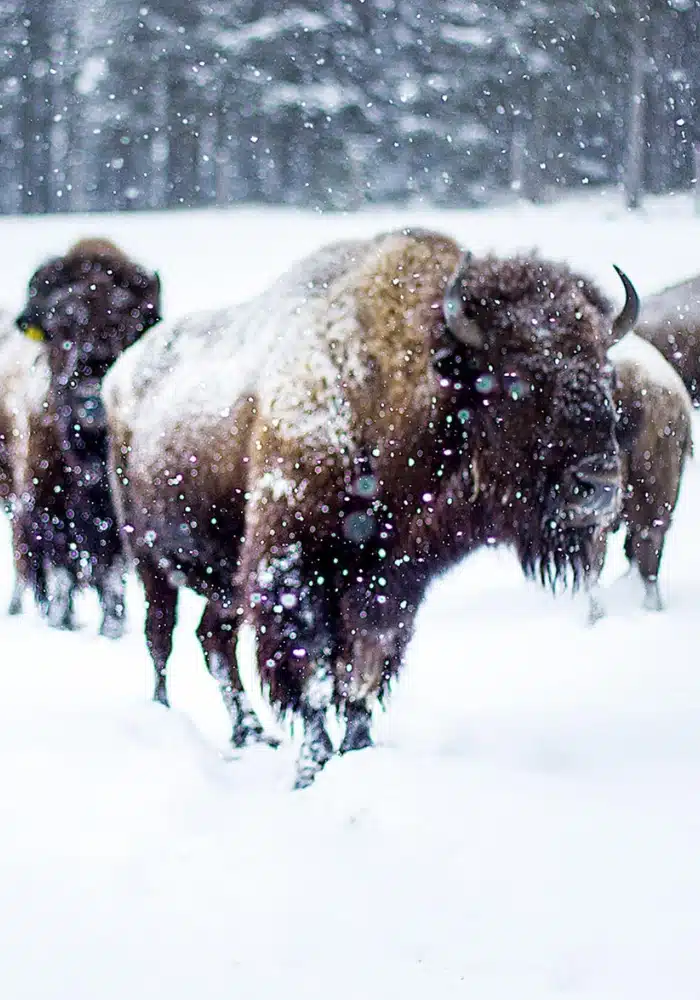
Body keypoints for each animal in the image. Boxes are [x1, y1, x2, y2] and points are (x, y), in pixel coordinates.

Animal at [104, 229, 638, 787]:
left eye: (604, 368)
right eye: (515, 376)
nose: (599, 482)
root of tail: (122, 373)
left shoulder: (391, 585)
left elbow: (363, 672)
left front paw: (356, 749)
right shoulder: (291, 572)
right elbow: (313, 675)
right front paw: (312, 766)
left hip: (224, 583)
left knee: (214, 640)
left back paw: (249, 733)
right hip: (149, 559)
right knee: (161, 637)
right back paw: (166, 715)